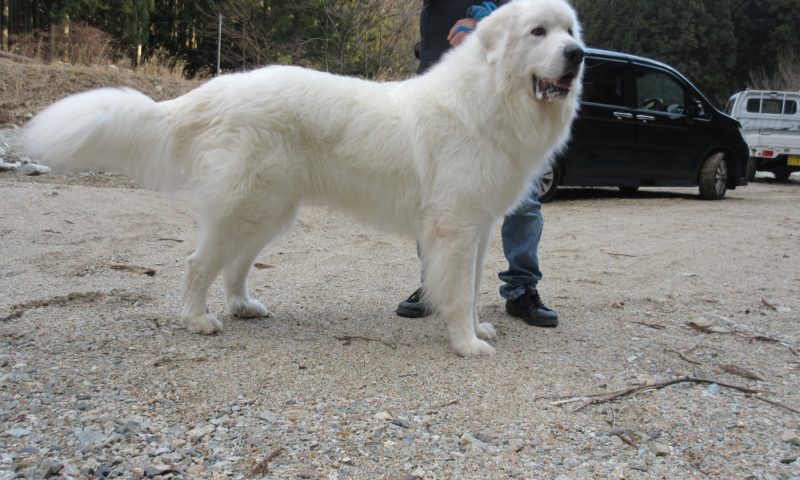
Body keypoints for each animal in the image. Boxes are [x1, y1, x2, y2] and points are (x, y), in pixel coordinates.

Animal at [23, 0, 580, 356]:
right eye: (538, 32)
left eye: (570, 32)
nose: (577, 55)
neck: (490, 96)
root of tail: (219, 89)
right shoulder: (457, 228)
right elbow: (459, 291)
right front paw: (465, 344)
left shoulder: (479, 228)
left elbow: (473, 284)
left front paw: (478, 331)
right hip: (245, 206)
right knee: (199, 263)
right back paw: (197, 320)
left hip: (269, 211)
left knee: (235, 266)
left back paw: (243, 307)